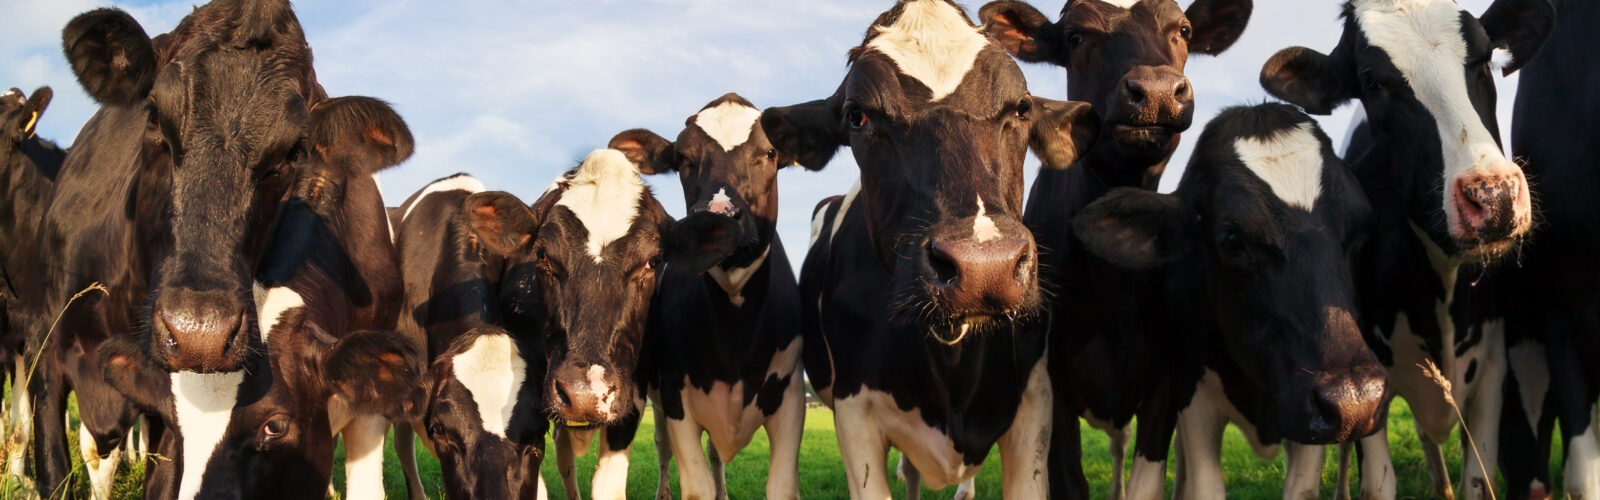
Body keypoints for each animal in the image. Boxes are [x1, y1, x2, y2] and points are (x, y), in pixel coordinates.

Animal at [605, 93, 807, 500]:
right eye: (683, 158)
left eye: (770, 153)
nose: (720, 215)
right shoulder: (675, 396)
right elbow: (696, 485)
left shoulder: (792, 397)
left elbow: (780, 485)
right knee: (662, 445)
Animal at [977, 0, 1252, 498]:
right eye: (1075, 37)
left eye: (1183, 30)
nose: (1158, 91)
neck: (1114, 286)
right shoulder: (1053, 385)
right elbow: (1069, 478)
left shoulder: (1166, 379)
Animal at [1259, 0, 1553, 497]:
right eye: (1373, 83)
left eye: (1482, 58)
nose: (1492, 196)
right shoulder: (1366, 380)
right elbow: (1377, 479)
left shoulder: (1493, 372)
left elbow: (1478, 477)